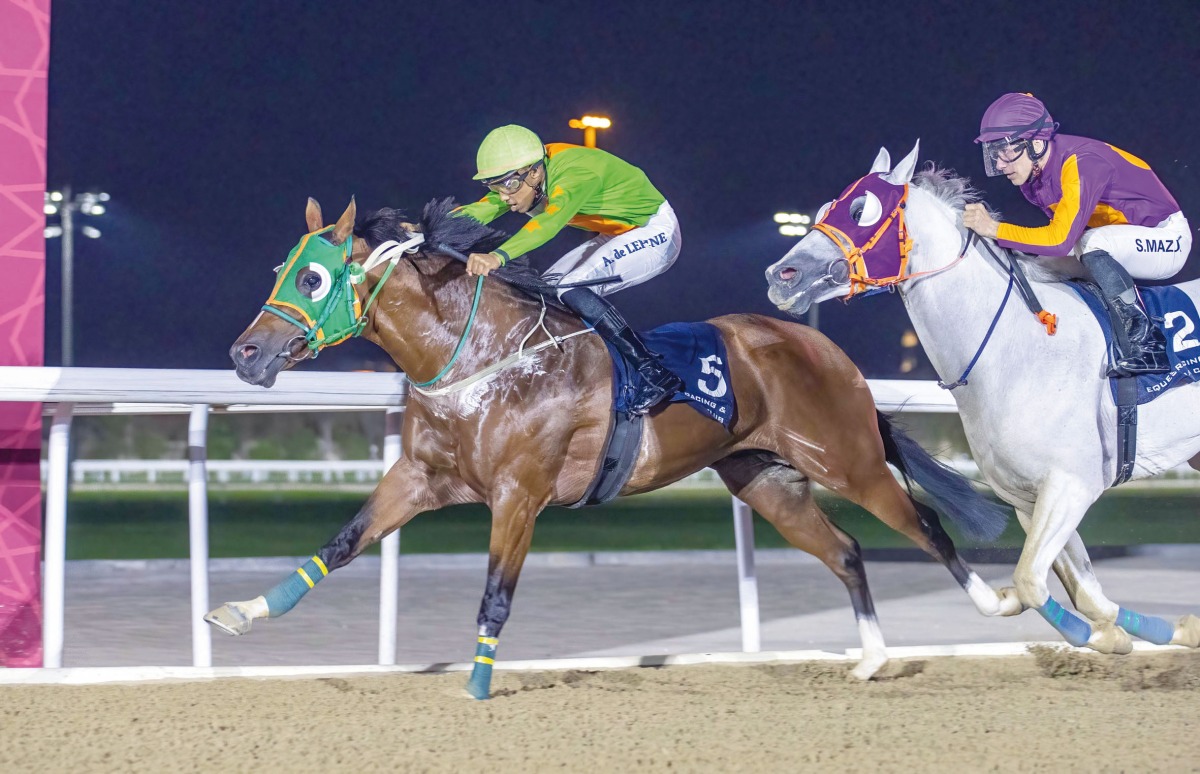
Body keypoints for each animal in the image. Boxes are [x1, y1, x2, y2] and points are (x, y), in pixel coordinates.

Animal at [208, 194, 1012, 700]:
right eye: (281, 268)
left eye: (314, 276)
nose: (245, 353)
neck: (480, 356)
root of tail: (821, 344)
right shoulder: (419, 477)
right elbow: (340, 543)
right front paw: (243, 611)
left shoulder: (520, 495)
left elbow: (495, 595)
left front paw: (477, 686)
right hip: (766, 478)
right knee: (845, 550)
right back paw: (872, 658)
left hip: (846, 457)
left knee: (924, 524)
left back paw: (1008, 607)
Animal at [768, 141, 1200, 652]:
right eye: (824, 209)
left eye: (861, 210)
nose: (782, 275)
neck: (1017, 349)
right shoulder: (1027, 498)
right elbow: (1082, 592)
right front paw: (1134, 633)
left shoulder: (1073, 483)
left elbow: (1031, 581)